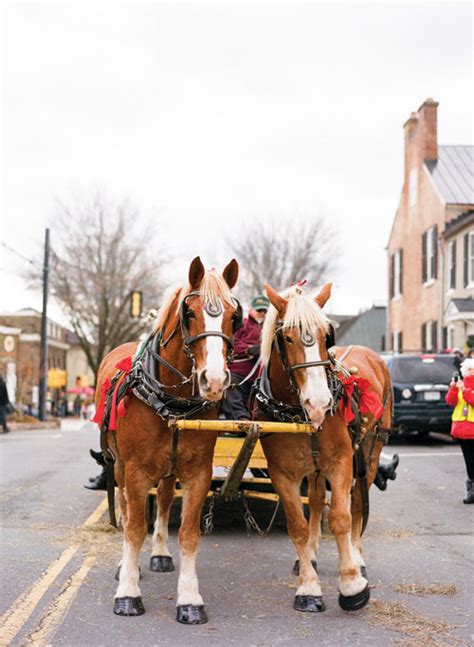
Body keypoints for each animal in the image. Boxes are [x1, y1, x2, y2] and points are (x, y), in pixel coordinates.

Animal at [95, 256, 241, 624]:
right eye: (189, 313)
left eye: (235, 316)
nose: (213, 379)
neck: (172, 401)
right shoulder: (134, 471)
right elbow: (134, 527)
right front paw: (128, 593)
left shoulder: (198, 473)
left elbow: (189, 534)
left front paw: (189, 599)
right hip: (119, 466)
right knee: (126, 509)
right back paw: (126, 565)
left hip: (168, 469)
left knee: (161, 502)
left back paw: (160, 553)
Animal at [260, 282, 392, 612]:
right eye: (287, 336)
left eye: (325, 335)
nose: (319, 402)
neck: (297, 412)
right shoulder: (282, 473)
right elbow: (298, 524)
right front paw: (308, 586)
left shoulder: (341, 462)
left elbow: (341, 519)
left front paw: (352, 585)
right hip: (314, 466)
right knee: (318, 501)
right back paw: (311, 553)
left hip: (372, 448)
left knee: (357, 502)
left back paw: (357, 556)